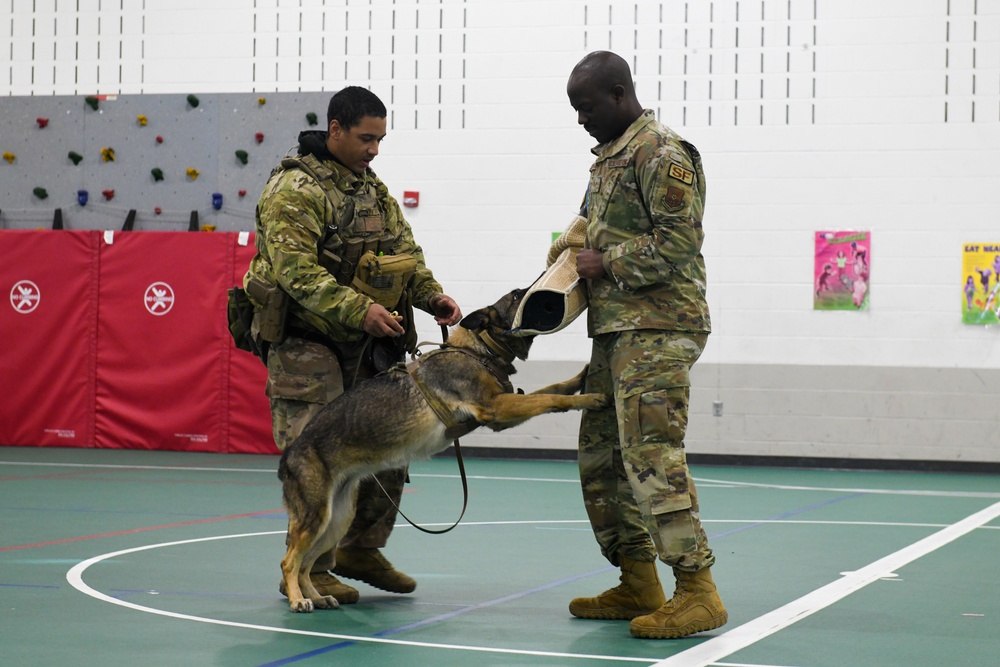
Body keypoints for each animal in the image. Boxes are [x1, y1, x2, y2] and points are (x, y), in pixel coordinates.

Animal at [276, 288, 608, 612]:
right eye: (516, 296)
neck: (477, 351)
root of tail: (288, 456)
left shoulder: (502, 412)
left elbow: (552, 389)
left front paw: (579, 379)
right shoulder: (496, 409)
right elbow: (548, 399)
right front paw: (588, 398)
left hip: (335, 521)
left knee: (307, 564)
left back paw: (318, 596)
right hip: (316, 518)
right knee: (289, 561)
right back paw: (298, 600)